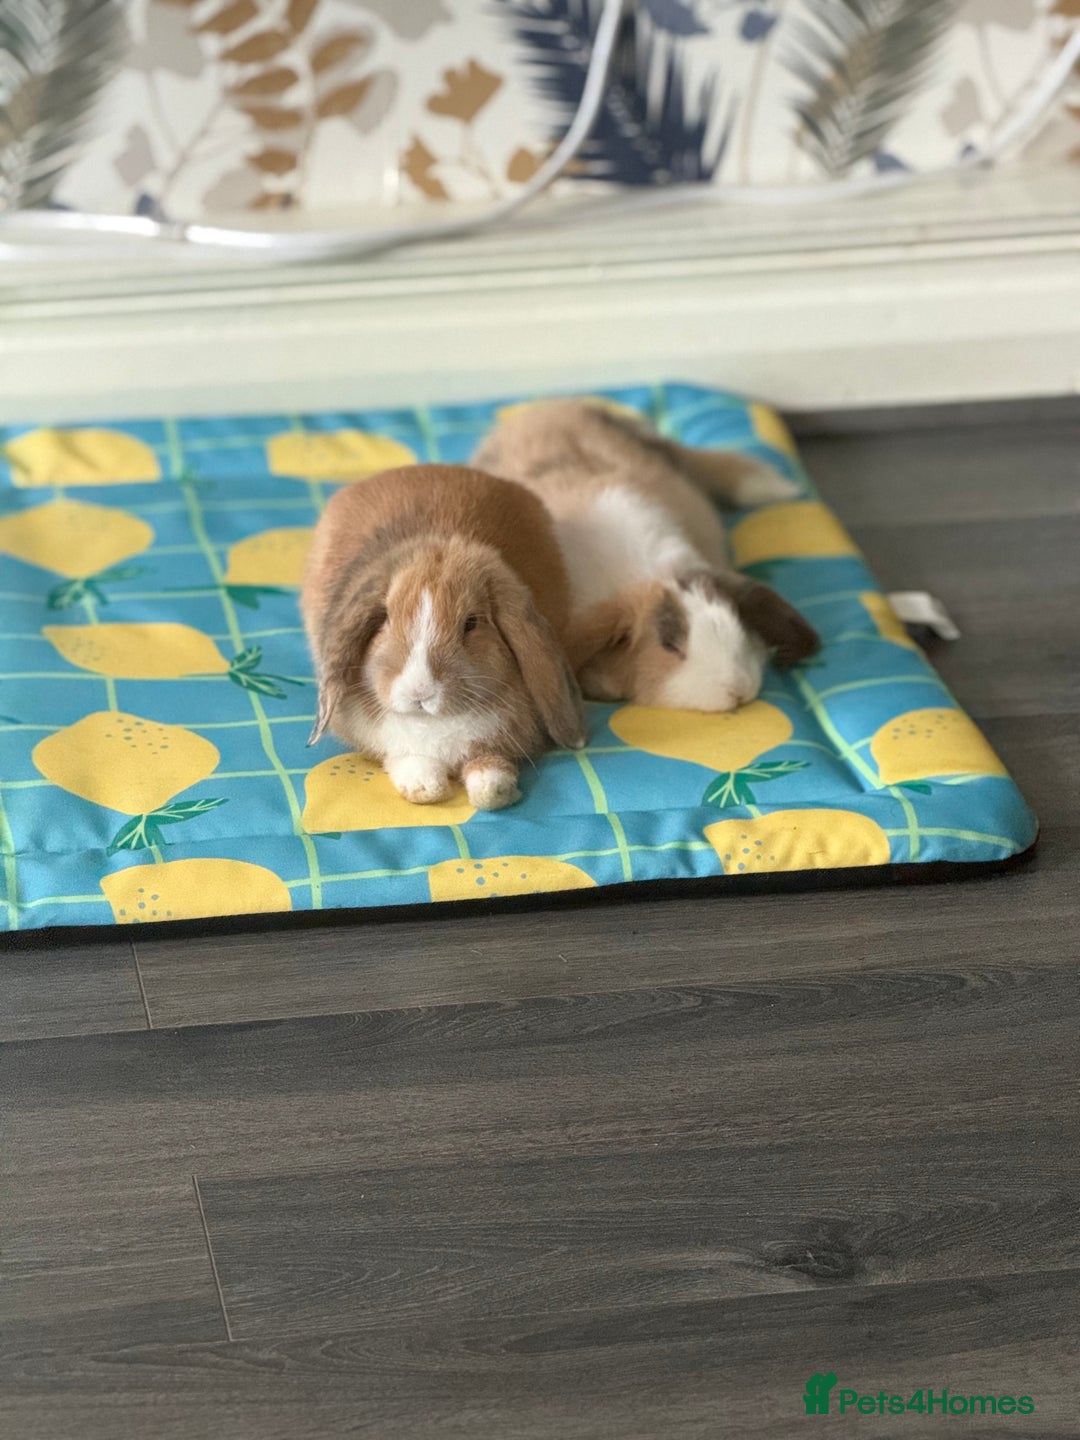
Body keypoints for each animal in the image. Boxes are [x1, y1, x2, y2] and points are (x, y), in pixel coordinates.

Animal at [301, 464, 587, 811]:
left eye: (472, 623)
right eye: (385, 618)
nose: (419, 691)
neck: (433, 722)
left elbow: (489, 765)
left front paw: (495, 791)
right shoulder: (391, 744)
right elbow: (409, 762)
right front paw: (426, 787)